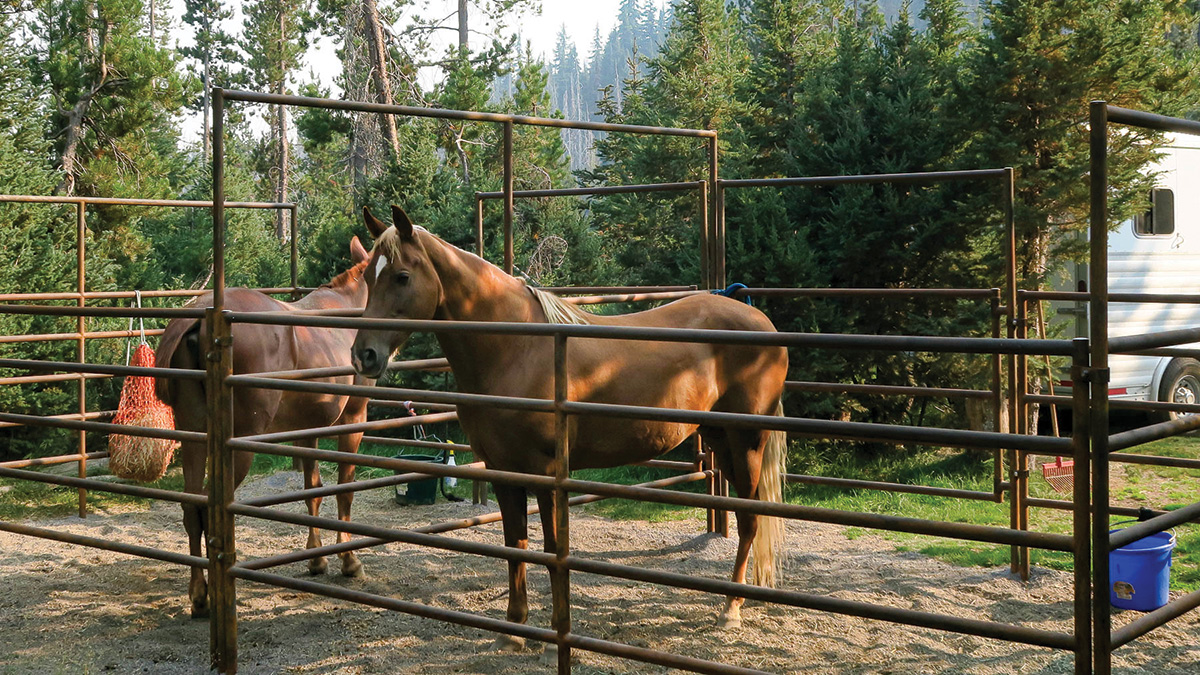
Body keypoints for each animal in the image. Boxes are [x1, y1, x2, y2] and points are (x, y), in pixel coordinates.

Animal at [157, 235, 374, 614]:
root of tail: (199, 319)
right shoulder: (352, 419)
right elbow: (344, 490)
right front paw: (348, 560)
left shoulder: (308, 428)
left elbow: (312, 490)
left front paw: (316, 558)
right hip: (239, 445)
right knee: (211, 513)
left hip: (195, 439)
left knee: (192, 508)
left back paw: (199, 594)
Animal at [350, 201, 792, 643]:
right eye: (368, 278)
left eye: (402, 276)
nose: (364, 355)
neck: (515, 348)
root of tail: (759, 319)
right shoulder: (502, 470)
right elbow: (515, 545)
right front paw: (514, 628)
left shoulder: (547, 474)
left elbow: (552, 550)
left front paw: (553, 636)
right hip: (720, 440)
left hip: (747, 442)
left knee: (750, 520)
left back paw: (730, 609)